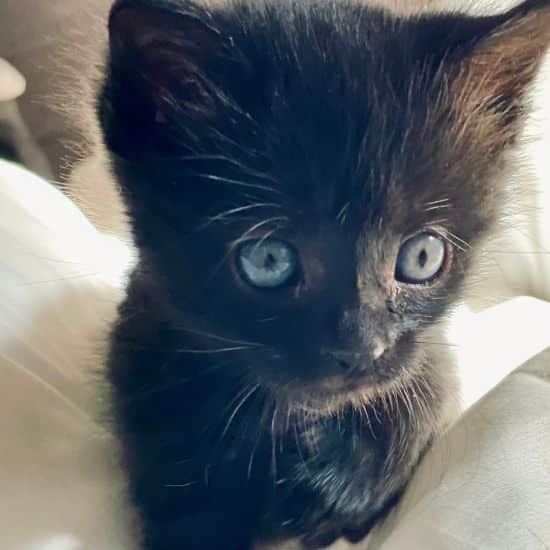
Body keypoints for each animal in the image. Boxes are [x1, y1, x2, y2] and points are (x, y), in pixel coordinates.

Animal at [99, 2, 550, 548]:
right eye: (269, 260)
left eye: (422, 256)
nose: (361, 351)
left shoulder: (432, 365)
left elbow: (424, 398)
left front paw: (342, 483)